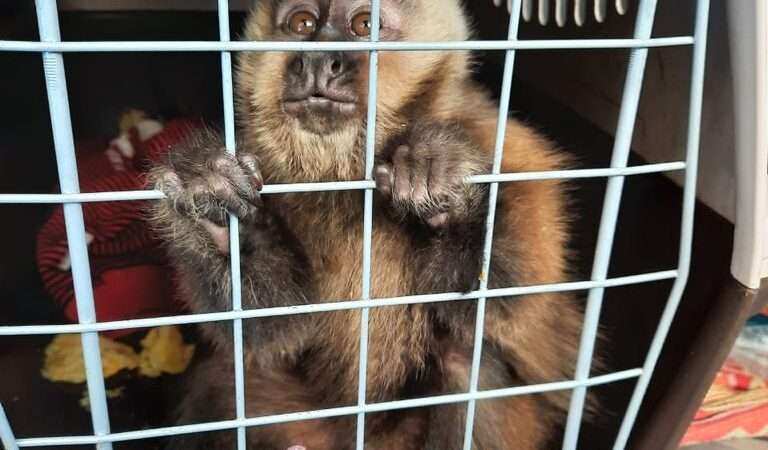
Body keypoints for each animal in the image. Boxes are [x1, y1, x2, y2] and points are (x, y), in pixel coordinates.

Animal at [149, 1, 588, 448]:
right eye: (302, 23)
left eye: (364, 25)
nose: (318, 61)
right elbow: (271, 326)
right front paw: (213, 208)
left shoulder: (504, 146)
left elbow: (508, 300)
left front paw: (443, 182)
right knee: (221, 381)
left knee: (467, 366)